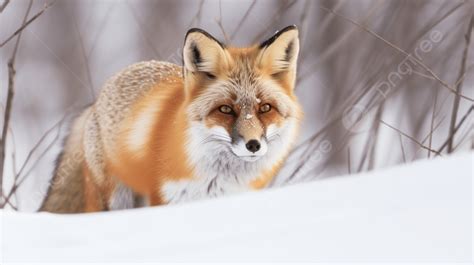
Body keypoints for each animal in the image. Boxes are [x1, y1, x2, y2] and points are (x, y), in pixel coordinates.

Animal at [39, 25, 300, 212]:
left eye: (265, 108)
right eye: (225, 109)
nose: (253, 145)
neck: (216, 178)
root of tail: (97, 100)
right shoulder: (165, 198)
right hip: (115, 198)